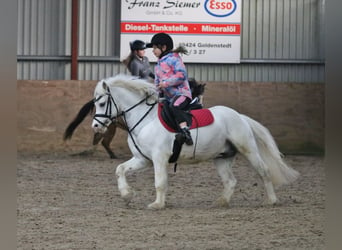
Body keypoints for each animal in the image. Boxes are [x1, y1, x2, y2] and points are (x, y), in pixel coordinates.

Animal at [91, 73, 300, 209]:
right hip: (222, 157)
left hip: (248, 150)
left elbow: (160, 182)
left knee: (264, 172)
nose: (95, 126)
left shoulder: (159, 158)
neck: (145, 119)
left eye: (101, 103)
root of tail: (239, 116)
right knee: (230, 181)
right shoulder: (143, 159)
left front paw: (157, 204)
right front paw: (127, 194)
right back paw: (221, 202)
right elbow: (120, 169)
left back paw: (271, 201)